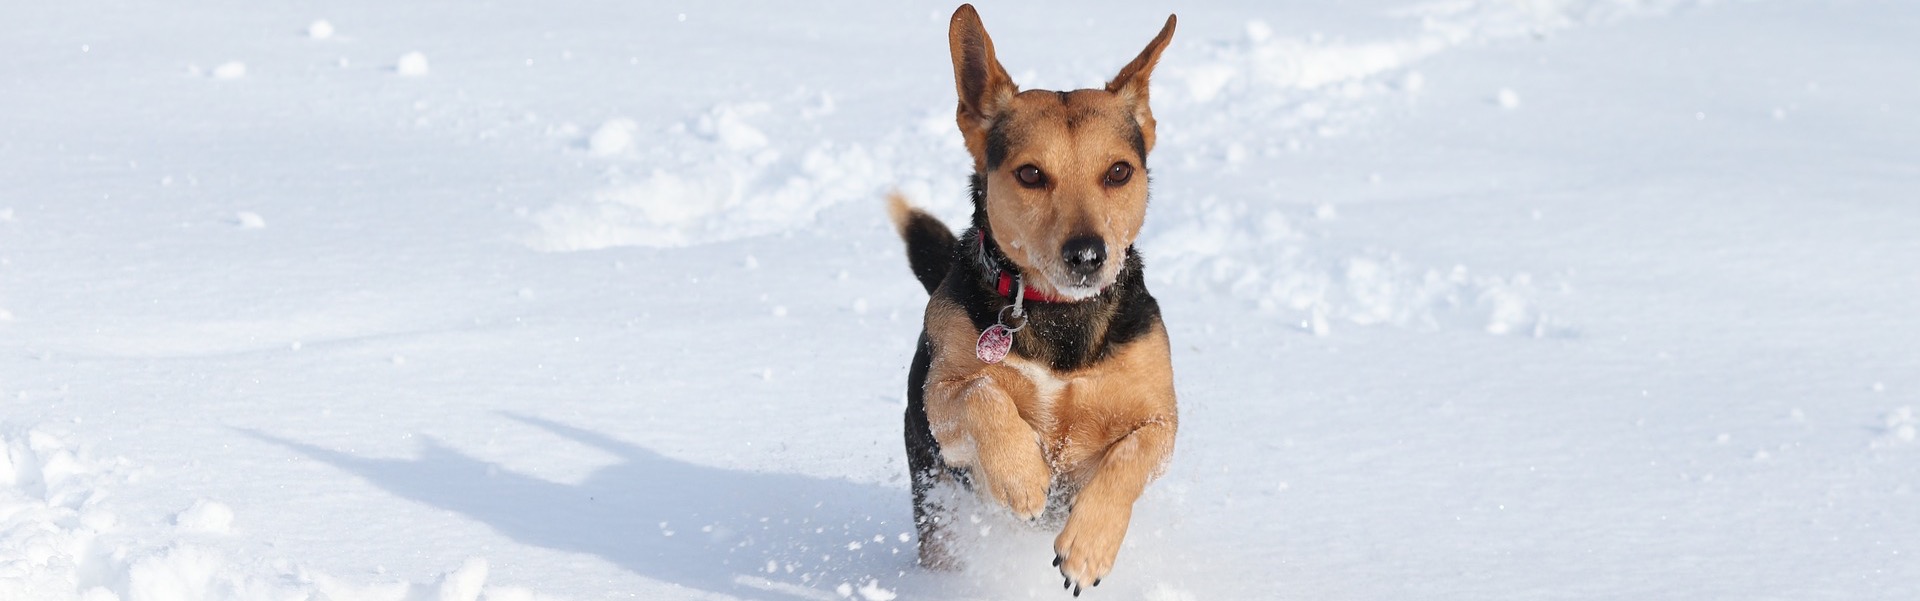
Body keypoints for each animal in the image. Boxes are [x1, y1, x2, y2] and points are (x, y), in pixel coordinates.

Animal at [887, 3, 1182, 595]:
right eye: (1030, 173)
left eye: (1119, 171)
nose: (1087, 254)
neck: (1057, 313)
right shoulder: (942, 405)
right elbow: (981, 391)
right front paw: (1021, 475)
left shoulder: (1163, 420)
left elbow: (1131, 454)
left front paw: (1088, 547)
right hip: (938, 503)